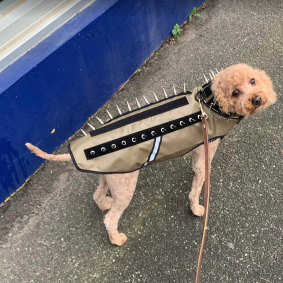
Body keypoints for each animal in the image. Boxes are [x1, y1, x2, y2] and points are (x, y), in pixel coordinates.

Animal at [25, 63, 278, 246]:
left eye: (253, 80)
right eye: (235, 92)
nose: (257, 98)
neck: (209, 106)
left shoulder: (198, 149)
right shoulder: (206, 153)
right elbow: (197, 187)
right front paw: (196, 208)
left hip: (110, 177)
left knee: (98, 195)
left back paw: (104, 203)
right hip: (125, 185)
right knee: (110, 219)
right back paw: (116, 238)